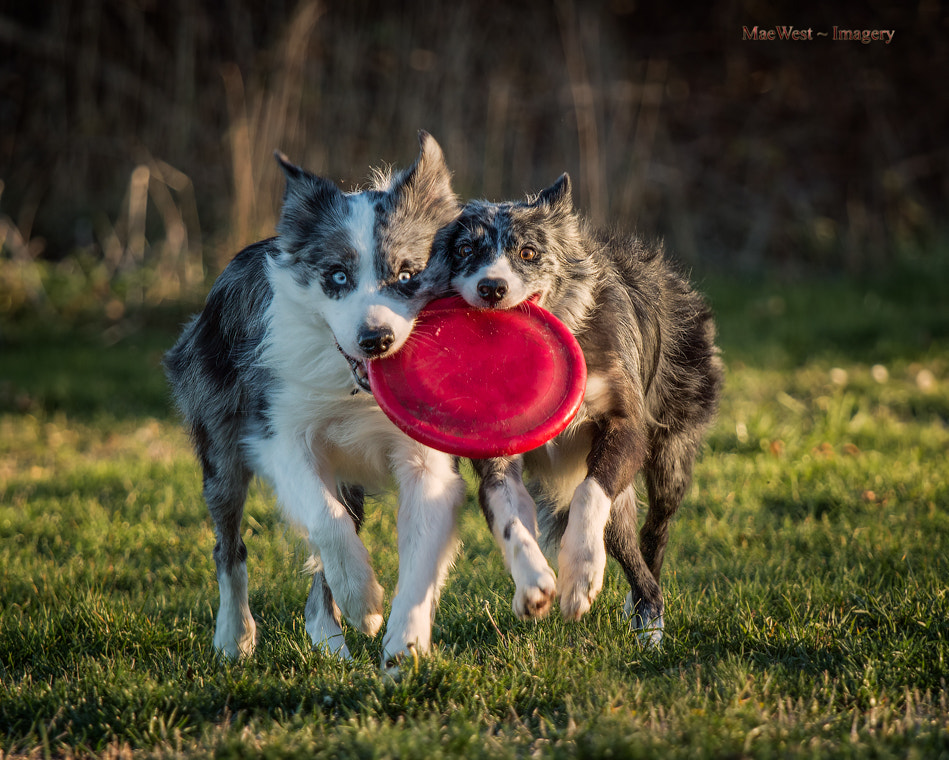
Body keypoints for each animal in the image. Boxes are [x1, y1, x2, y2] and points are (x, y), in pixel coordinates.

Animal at [167, 132, 724, 672]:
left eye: (408, 275)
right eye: (337, 276)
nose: (375, 341)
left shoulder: (611, 429)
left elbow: (579, 498)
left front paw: (408, 643)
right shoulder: (284, 439)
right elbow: (333, 522)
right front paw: (369, 602)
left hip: (668, 462)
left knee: (649, 539)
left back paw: (646, 621)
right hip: (222, 459)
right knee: (233, 545)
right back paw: (244, 637)